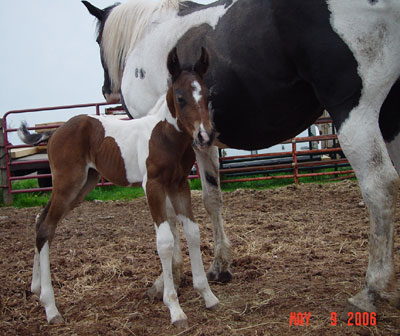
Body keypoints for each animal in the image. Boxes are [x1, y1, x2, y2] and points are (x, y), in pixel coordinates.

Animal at [18, 46, 219, 326]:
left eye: (207, 94)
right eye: (180, 98)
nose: (205, 136)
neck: (164, 136)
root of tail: (55, 131)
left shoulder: (179, 184)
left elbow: (192, 232)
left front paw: (207, 295)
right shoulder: (153, 185)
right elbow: (165, 241)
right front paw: (174, 307)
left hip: (82, 186)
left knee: (40, 219)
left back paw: (36, 289)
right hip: (68, 184)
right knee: (46, 226)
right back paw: (51, 307)